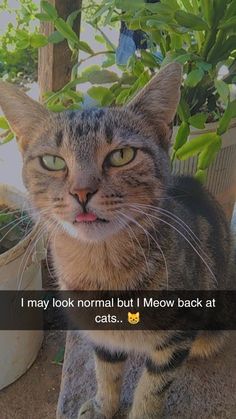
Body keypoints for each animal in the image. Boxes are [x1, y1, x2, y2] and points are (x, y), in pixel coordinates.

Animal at [0, 63, 234, 419]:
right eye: (53, 161)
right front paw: (103, 407)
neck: (101, 268)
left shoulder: (175, 341)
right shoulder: (101, 337)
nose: (82, 192)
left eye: (122, 155)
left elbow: (151, 391)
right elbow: (106, 373)